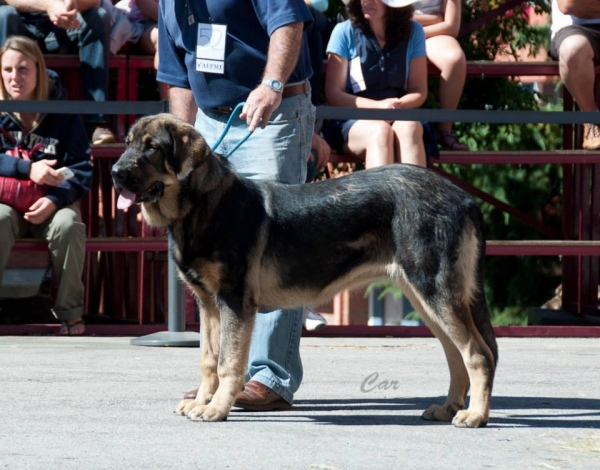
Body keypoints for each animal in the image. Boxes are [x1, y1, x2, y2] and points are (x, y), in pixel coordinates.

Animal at [111, 113, 496, 426]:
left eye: (151, 148)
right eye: (128, 144)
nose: (115, 173)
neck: (202, 206)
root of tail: (464, 198)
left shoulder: (234, 302)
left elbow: (228, 363)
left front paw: (217, 409)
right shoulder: (208, 305)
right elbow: (208, 359)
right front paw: (203, 402)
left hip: (434, 291)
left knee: (478, 355)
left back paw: (475, 415)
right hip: (426, 298)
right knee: (457, 355)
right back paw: (448, 408)